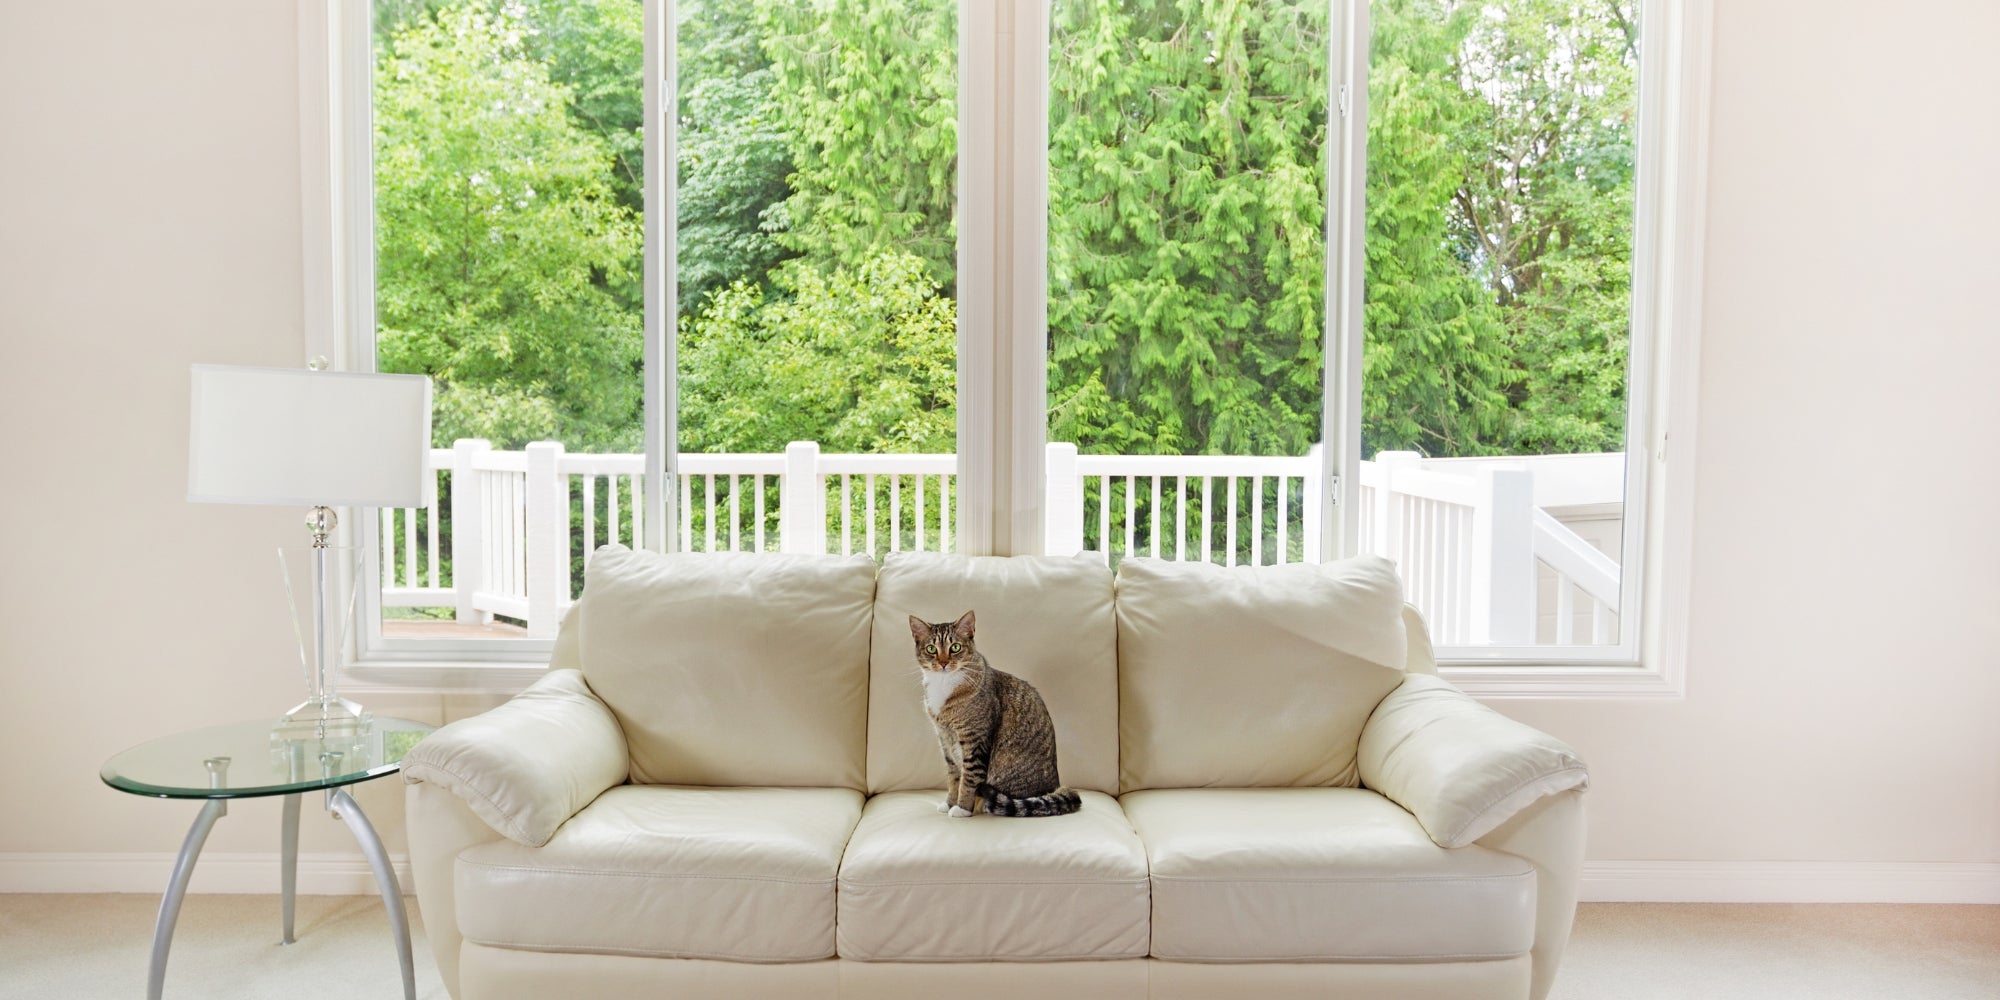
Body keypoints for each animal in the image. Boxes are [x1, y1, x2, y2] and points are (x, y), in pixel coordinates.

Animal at [916, 612, 1088, 816]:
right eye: (931, 649)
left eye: (955, 647)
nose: (943, 663)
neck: (944, 684)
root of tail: (1054, 788)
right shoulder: (945, 740)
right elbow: (954, 776)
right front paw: (950, 803)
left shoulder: (975, 740)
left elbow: (969, 779)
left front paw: (962, 808)